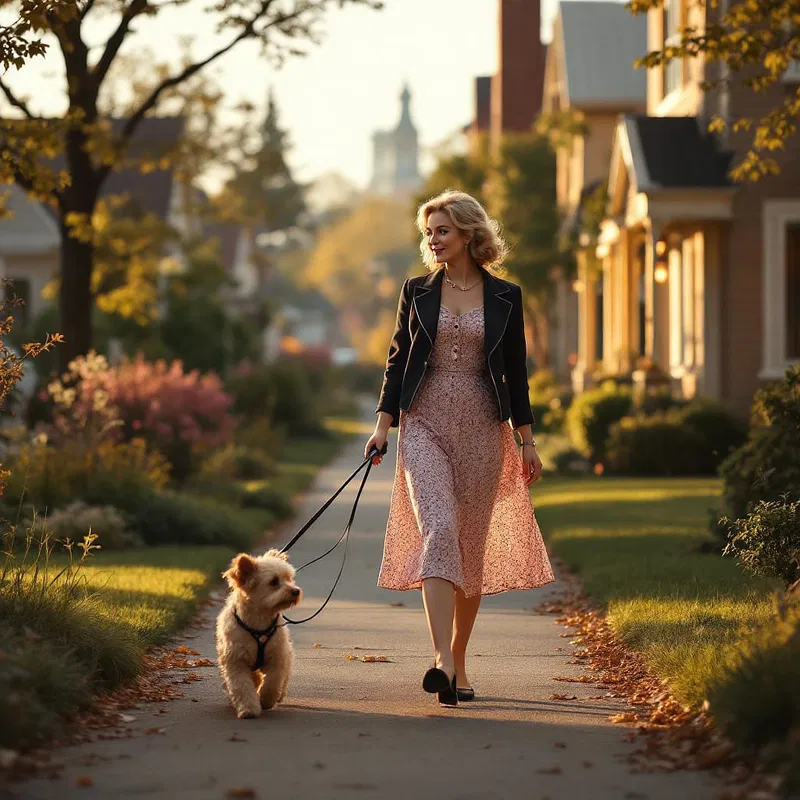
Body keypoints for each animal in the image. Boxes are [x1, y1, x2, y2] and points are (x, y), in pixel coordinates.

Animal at [214, 552, 302, 720]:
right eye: (274, 582)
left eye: (289, 578)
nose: (296, 591)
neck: (259, 622)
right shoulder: (236, 662)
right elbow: (242, 686)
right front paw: (248, 708)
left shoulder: (276, 657)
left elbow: (272, 682)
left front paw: (266, 700)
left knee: (282, 678)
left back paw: (279, 695)